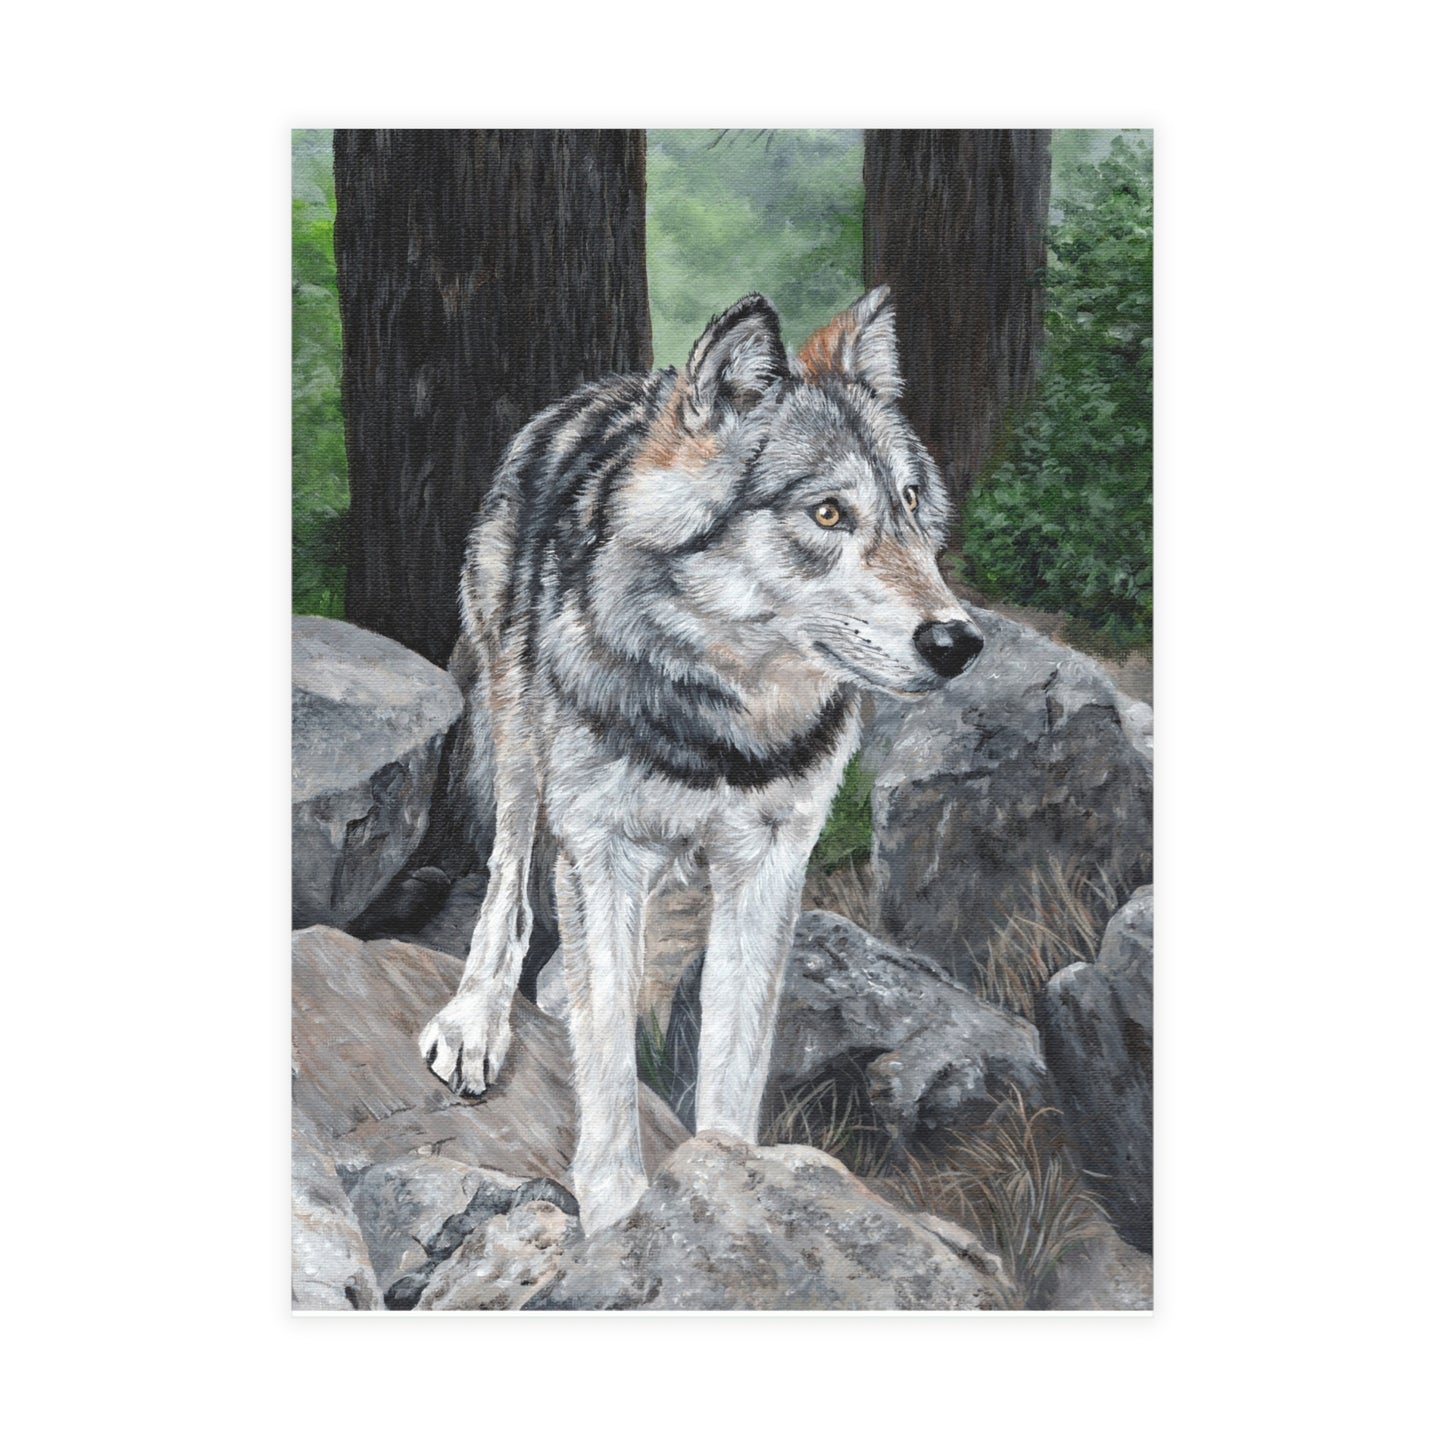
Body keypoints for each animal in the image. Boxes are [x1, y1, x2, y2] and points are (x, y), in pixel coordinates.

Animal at [420, 286, 984, 1233]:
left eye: (911, 502)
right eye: (827, 514)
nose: (959, 641)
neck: (723, 727)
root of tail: (609, 388)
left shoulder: (769, 863)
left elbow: (731, 1054)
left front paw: (731, 1186)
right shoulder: (601, 845)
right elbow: (609, 1058)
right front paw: (618, 1213)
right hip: (520, 739)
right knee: (508, 882)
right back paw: (477, 1018)